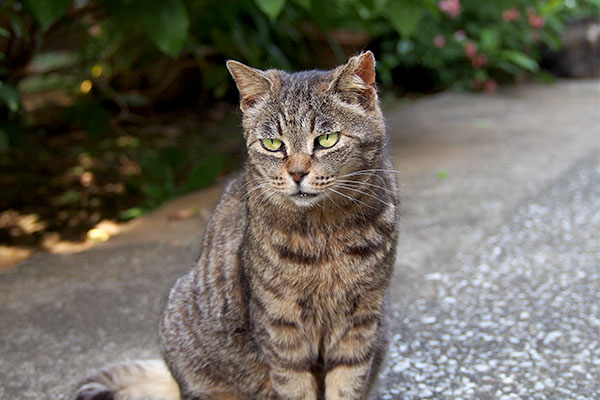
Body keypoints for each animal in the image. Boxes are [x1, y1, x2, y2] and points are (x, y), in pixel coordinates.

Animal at [76, 50, 404, 400]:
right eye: (273, 144)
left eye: (327, 139)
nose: (297, 173)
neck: (324, 233)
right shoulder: (279, 323)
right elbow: (294, 386)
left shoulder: (361, 320)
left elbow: (347, 385)